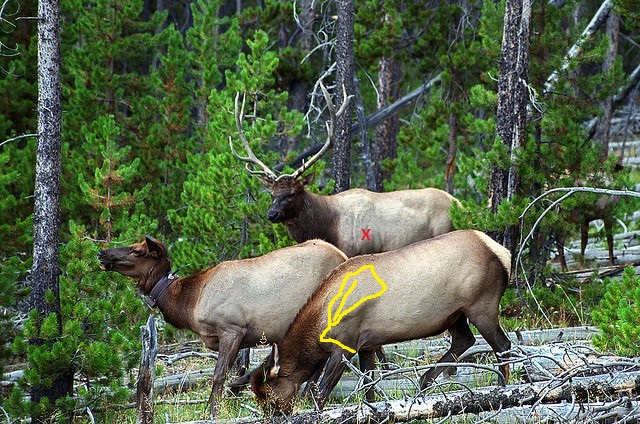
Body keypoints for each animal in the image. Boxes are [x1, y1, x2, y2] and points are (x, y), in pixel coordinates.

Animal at [97, 236, 347, 416]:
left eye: (137, 251)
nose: (102, 253)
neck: (190, 303)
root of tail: (343, 255)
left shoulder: (232, 329)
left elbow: (218, 376)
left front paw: (213, 410)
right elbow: (237, 375)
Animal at [230, 84, 459, 258]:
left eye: (292, 193)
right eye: (272, 194)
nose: (272, 213)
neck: (328, 228)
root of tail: (459, 203)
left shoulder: (357, 250)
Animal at [247, 229, 513, 415]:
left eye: (268, 396)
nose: (274, 415)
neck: (321, 322)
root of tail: (504, 253)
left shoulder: (345, 345)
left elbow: (320, 393)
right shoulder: (367, 345)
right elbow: (368, 389)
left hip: (482, 305)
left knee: (503, 346)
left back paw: (502, 391)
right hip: (454, 314)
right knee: (464, 340)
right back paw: (423, 383)